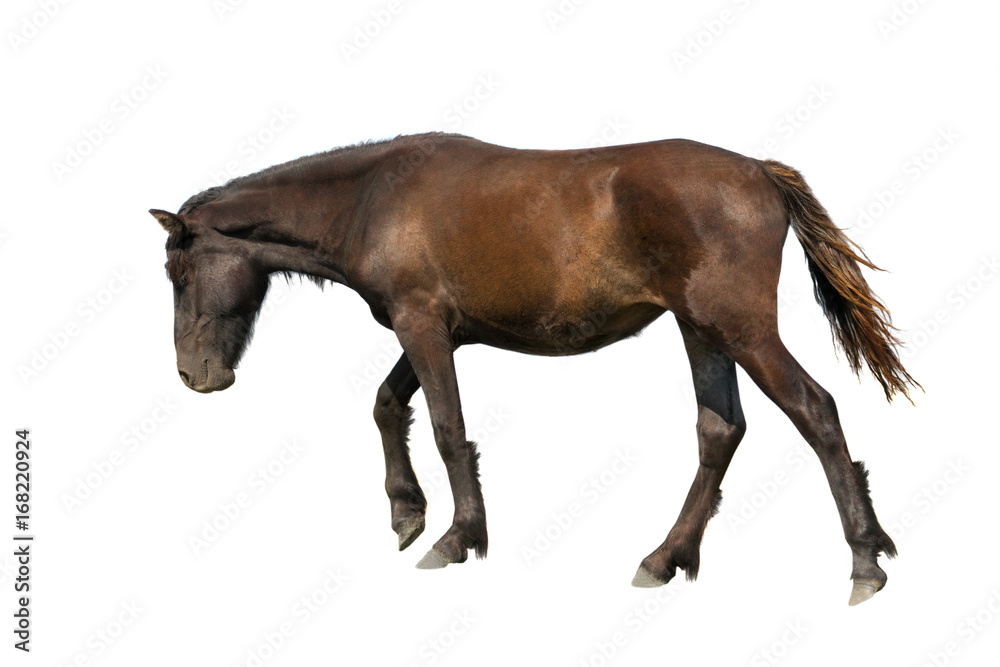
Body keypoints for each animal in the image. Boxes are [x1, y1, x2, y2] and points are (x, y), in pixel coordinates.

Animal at [150, 132, 918, 605]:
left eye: (179, 272)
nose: (195, 375)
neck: (371, 198)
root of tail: (758, 172)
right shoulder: (435, 332)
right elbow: (388, 405)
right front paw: (406, 512)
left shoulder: (424, 327)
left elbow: (446, 429)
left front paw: (456, 537)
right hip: (702, 331)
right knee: (719, 431)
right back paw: (665, 557)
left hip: (741, 329)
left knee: (815, 411)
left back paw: (864, 561)